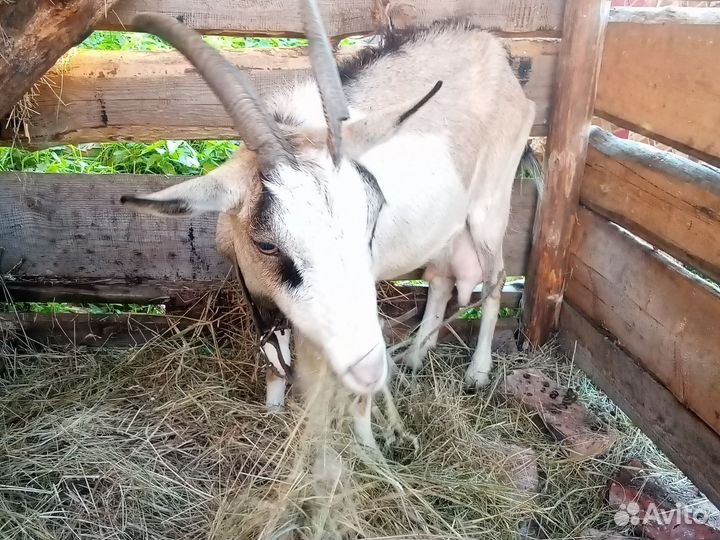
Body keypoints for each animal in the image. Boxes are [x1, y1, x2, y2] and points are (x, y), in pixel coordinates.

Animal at [120, 2, 537, 448]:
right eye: (266, 244)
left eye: (371, 220)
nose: (370, 370)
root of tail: (496, 53)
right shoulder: (267, 302)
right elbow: (275, 362)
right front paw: (273, 411)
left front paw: (366, 444)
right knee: (441, 280)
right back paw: (413, 356)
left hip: (490, 208)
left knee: (496, 278)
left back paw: (477, 373)